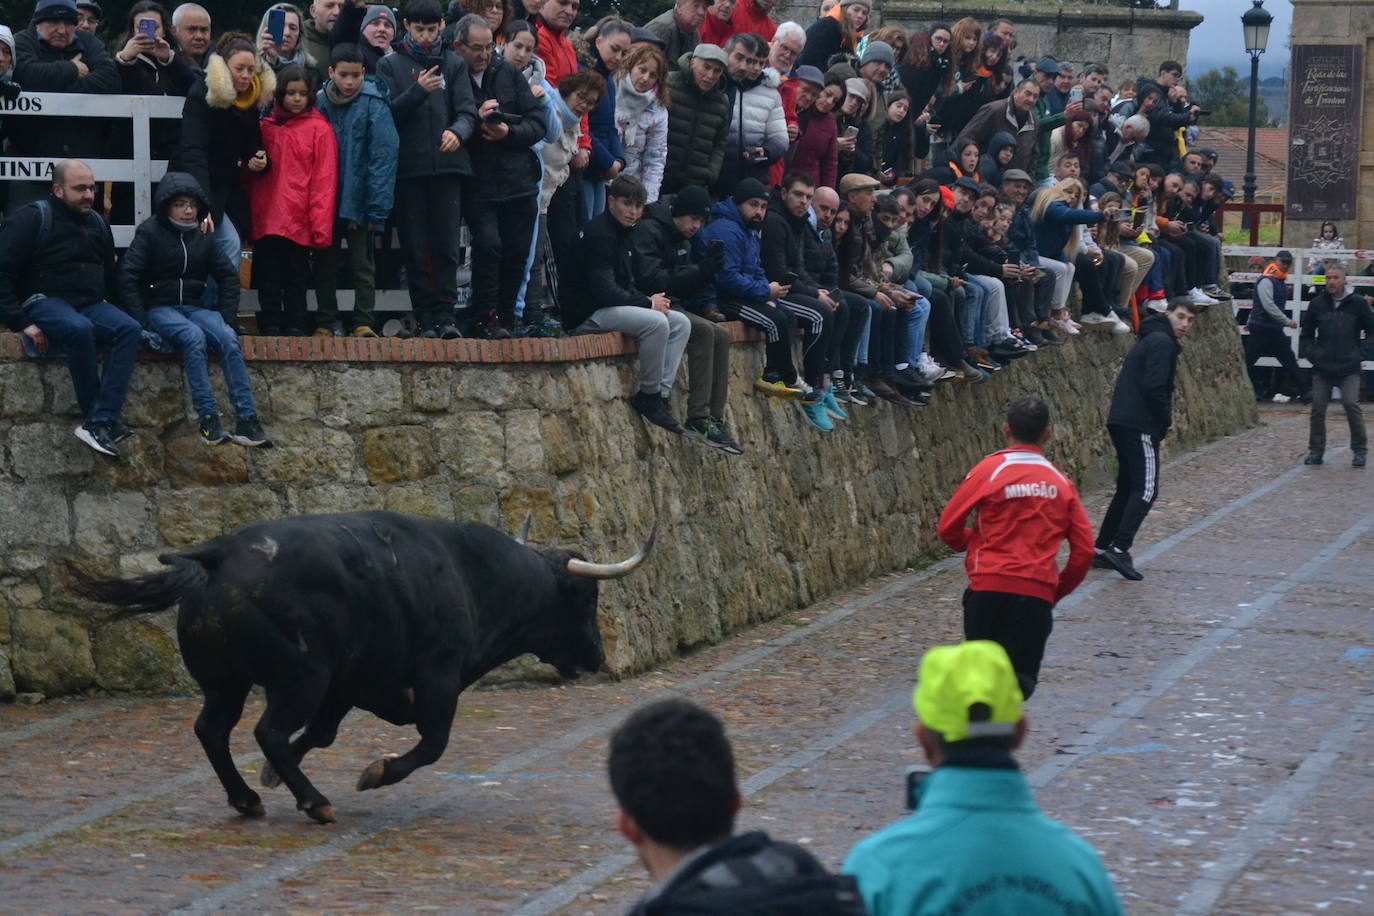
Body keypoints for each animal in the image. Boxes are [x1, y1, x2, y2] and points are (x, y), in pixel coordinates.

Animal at [71, 508, 654, 823]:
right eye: (586, 597)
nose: (597, 656)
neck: (470, 573)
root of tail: (219, 555)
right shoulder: (437, 678)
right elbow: (432, 744)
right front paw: (376, 773)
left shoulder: (350, 684)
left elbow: (322, 734)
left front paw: (275, 778)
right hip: (298, 677)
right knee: (266, 731)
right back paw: (316, 802)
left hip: (226, 682)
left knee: (213, 730)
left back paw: (248, 797)